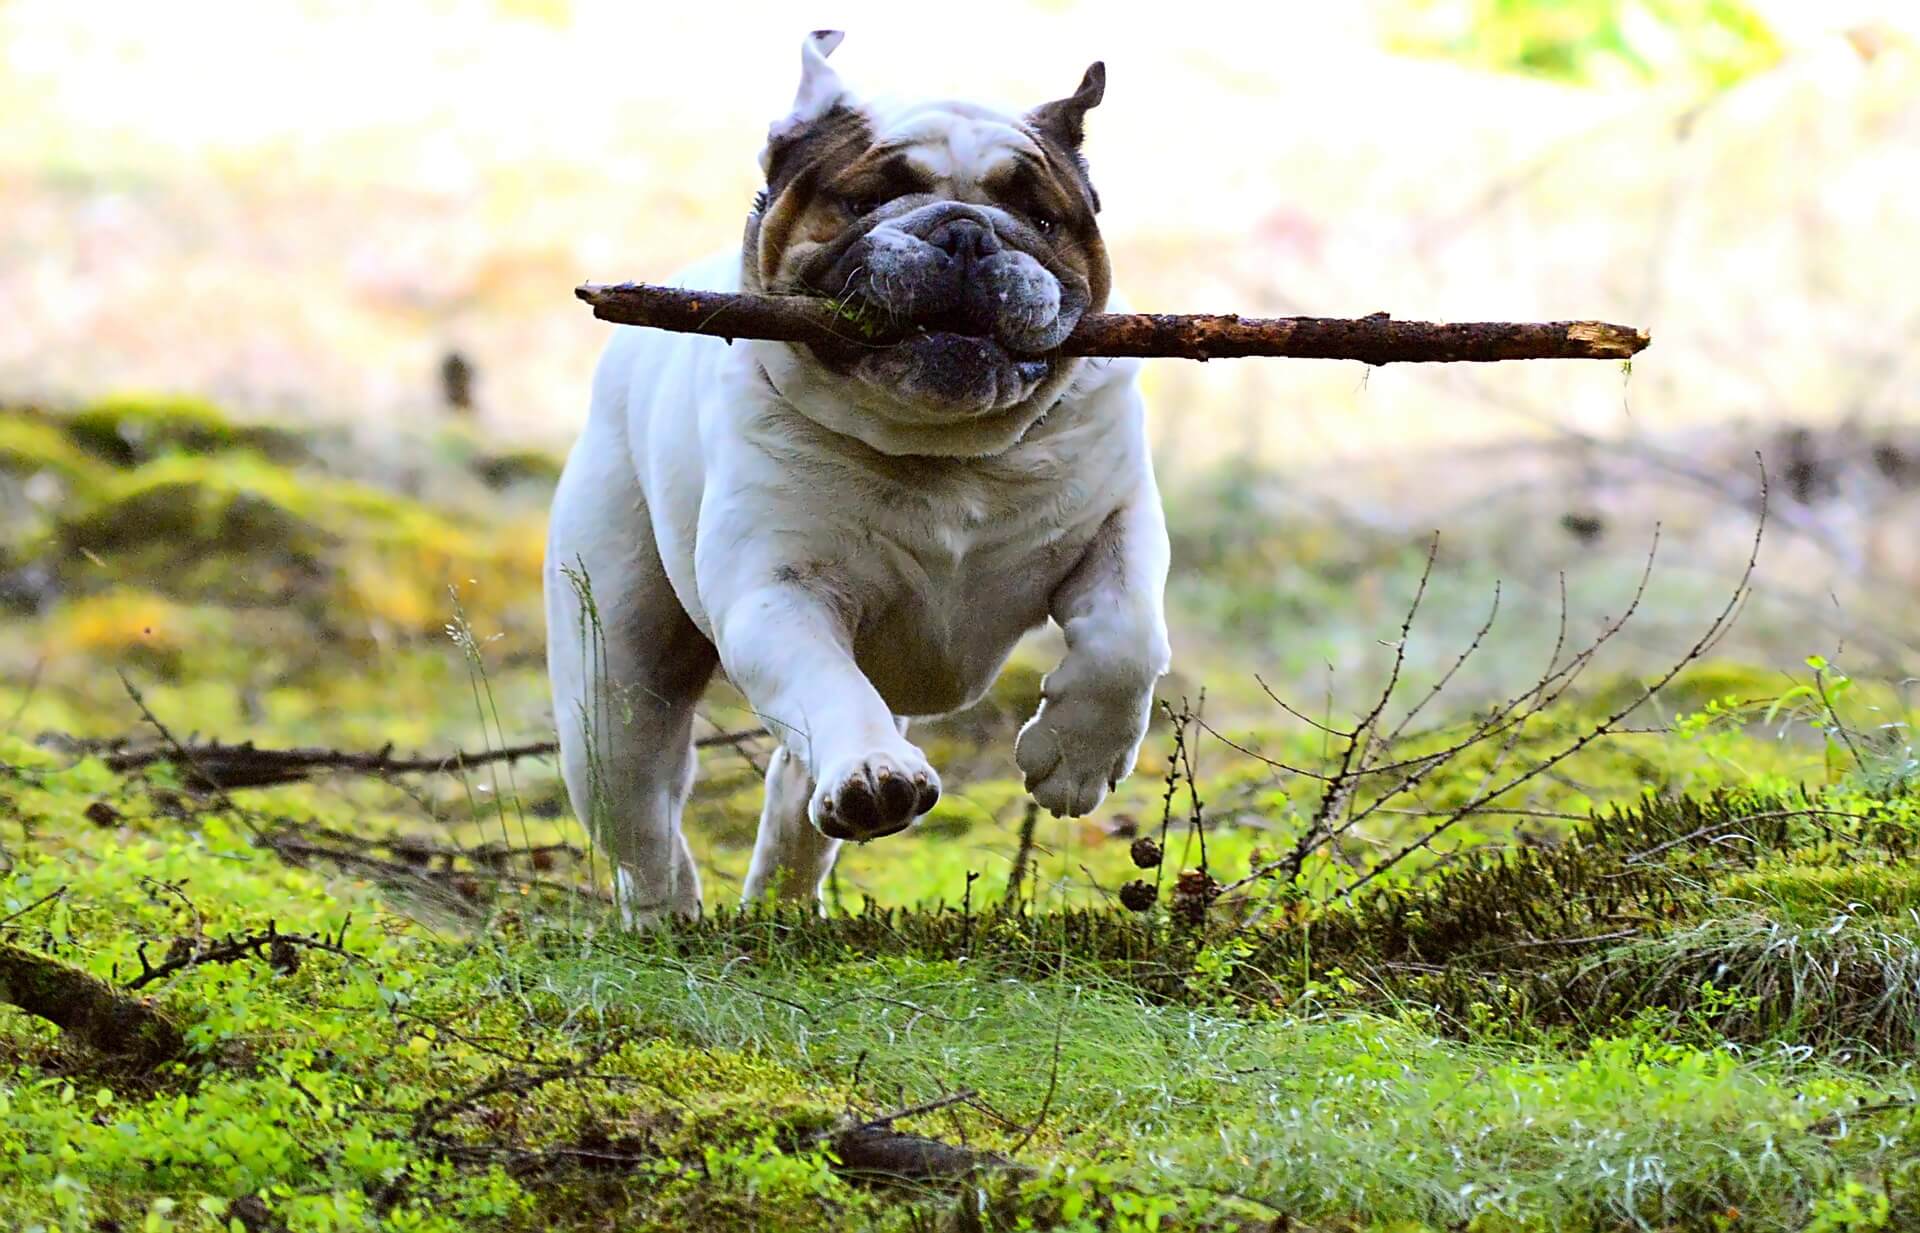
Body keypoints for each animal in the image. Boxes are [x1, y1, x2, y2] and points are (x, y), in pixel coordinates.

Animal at [545, 28, 1167, 918]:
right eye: (868, 198)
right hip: (612, 679)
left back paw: (783, 898)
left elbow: (1127, 636)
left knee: (792, 779)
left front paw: (1075, 758)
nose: (967, 233)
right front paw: (878, 774)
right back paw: (672, 912)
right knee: (642, 811)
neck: (944, 453)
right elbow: (825, 684)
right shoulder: (777, 593)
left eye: (1044, 217)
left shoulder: (1118, 523)